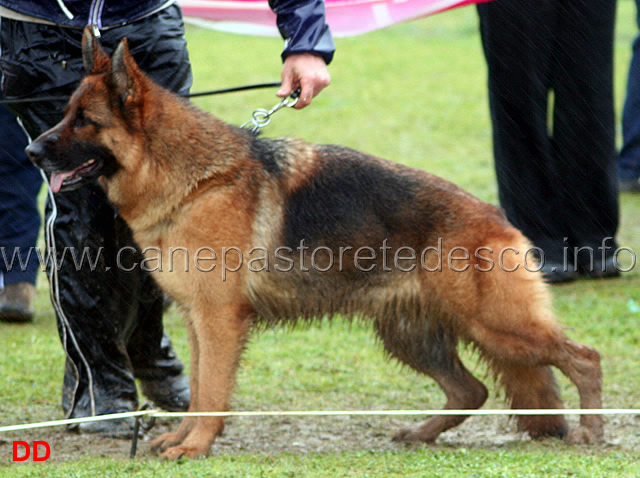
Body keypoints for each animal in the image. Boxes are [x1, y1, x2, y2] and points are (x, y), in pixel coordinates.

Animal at [26, 27, 604, 460]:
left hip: (499, 326)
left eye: (85, 121)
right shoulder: (196, 321)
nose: (31, 151)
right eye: (64, 114)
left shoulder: (218, 320)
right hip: (412, 335)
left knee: (585, 357)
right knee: (472, 390)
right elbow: (200, 389)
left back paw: (591, 431)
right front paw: (185, 438)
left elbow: (212, 391)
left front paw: (196, 447)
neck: (193, 178)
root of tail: (496, 217)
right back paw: (419, 435)